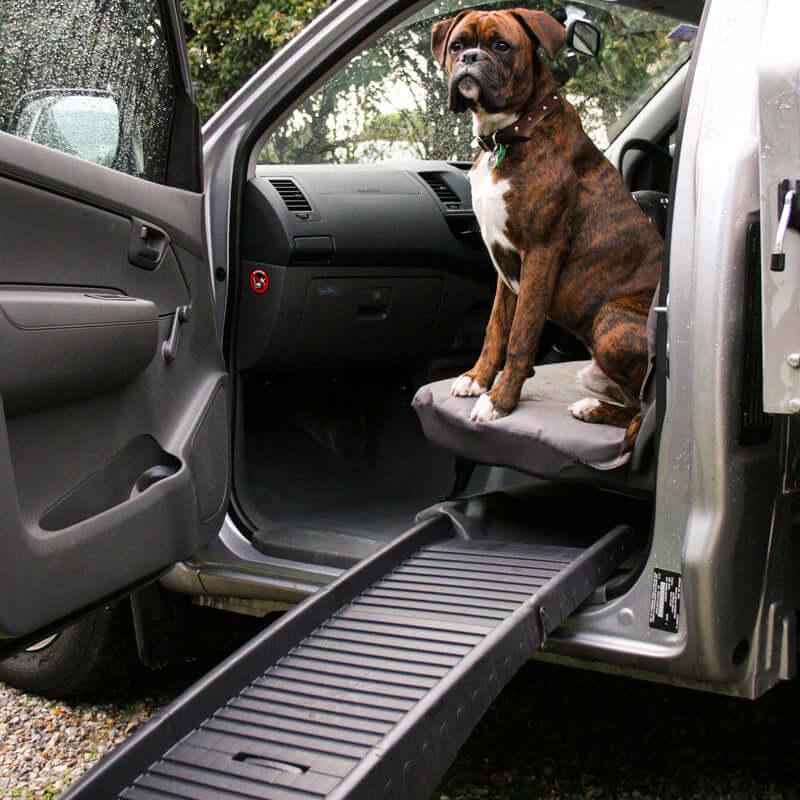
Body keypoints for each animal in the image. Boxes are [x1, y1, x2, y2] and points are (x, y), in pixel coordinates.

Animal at [432, 7, 664, 450]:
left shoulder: (540, 252)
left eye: (501, 45)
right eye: (457, 45)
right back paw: (592, 406)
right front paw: (477, 379)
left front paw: (499, 400)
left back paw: (592, 410)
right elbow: (496, 328)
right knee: (632, 403)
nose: (470, 58)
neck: (508, 134)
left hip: (610, 321)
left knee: (643, 411)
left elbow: (521, 335)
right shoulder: (505, 266)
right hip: (592, 369)